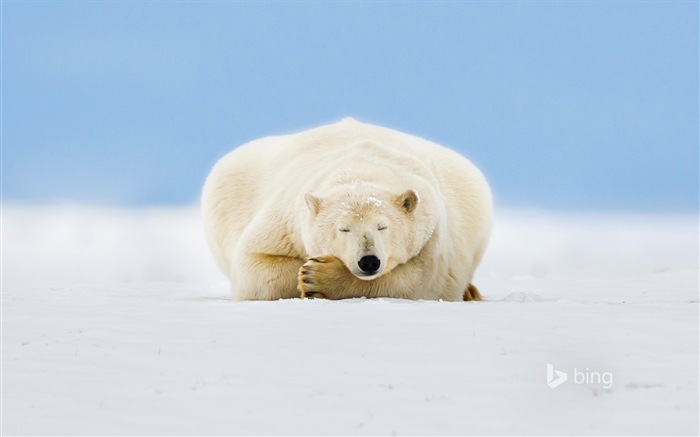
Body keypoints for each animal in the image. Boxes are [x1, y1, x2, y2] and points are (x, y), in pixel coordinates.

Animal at [201, 117, 492, 302]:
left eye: (382, 226)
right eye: (343, 228)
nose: (369, 261)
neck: (361, 168)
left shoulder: (433, 232)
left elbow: (421, 280)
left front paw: (318, 277)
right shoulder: (286, 221)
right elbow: (254, 265)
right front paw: (307, 271)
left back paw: (471, 292)